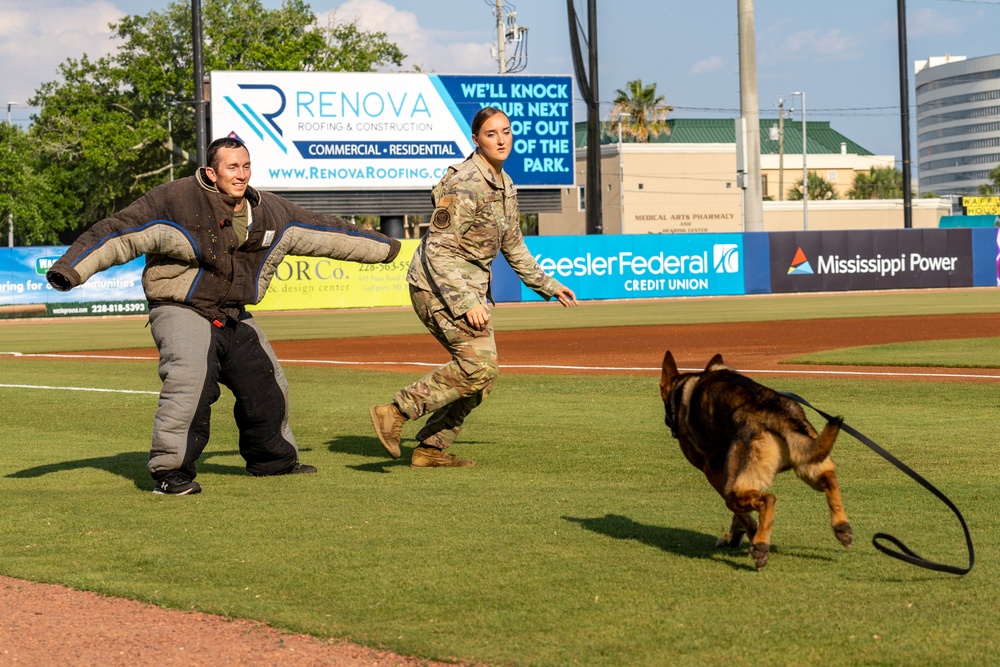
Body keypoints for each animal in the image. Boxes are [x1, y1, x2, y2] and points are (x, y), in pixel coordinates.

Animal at [664, 352, 852, 572]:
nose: (669, 423)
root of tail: (776, 412)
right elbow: (740, 516)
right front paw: (736, 536)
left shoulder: (713, 471)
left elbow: (741, 514)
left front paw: (748, 535)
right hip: (808, 461)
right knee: (830, 479)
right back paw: (841, 527)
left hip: (735, 488)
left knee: (767, 499)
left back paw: (761, 546)